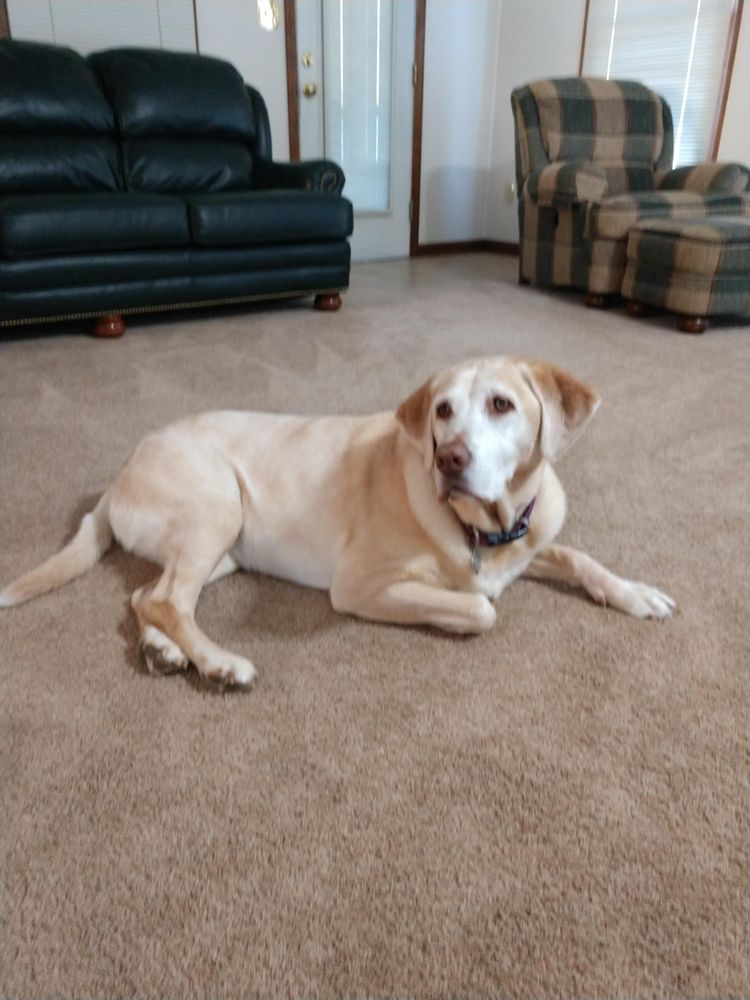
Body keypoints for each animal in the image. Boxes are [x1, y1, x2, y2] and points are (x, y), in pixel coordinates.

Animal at [0, 356, 675, 687]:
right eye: (443, 410)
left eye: (502, 405)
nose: (450, 460)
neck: (487, 525)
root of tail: (118, 474)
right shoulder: (361, 587)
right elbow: (481, 606)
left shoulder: (531, 542)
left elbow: (578, 557)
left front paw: (635, 592)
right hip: (216, 506)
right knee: (166, 599)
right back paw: (218, 663)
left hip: (224, 548)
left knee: (149, 596)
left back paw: (165, 651)